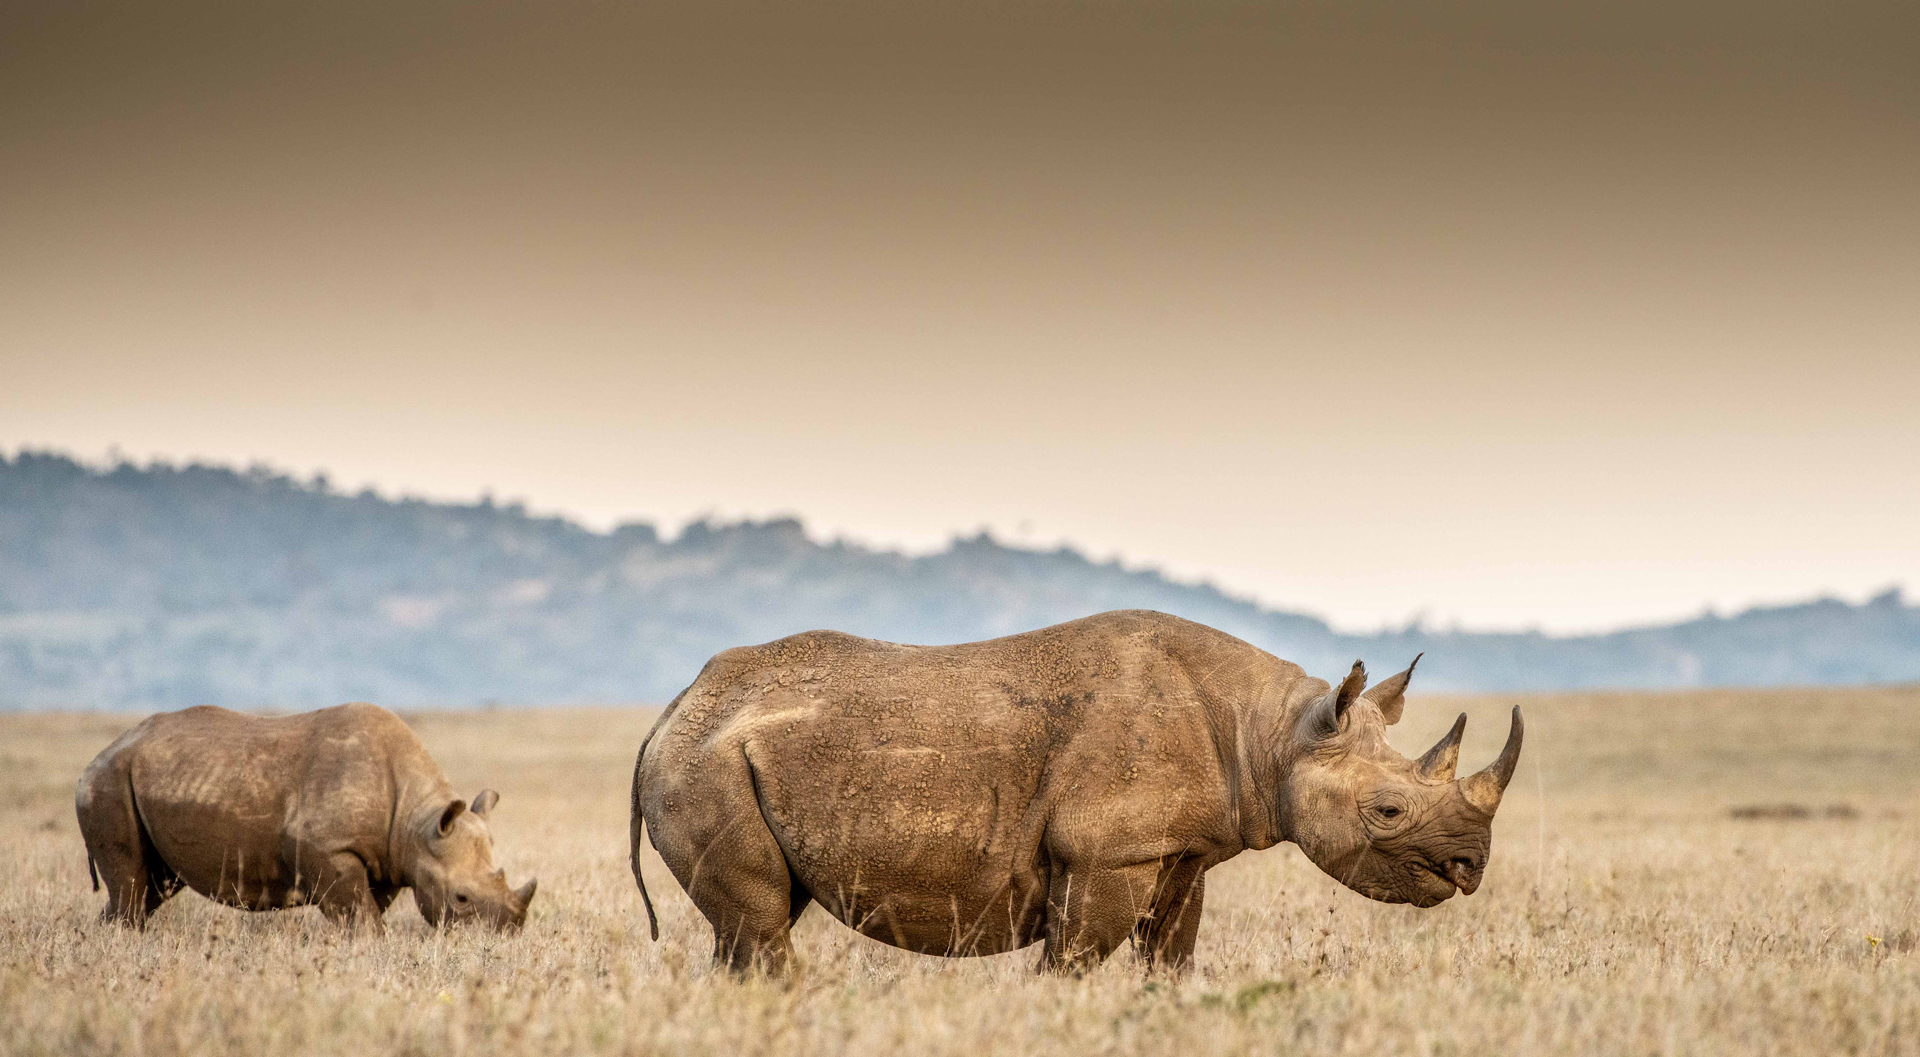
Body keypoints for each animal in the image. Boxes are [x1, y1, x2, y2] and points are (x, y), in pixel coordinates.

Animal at [77, 702, 536, 930]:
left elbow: (365, 909)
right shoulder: (326, 847)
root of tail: (96, 759)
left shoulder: (388, 858)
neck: (415, 821)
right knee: (132, 885)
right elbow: (360, 916)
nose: (503, 935)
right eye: (461, 898)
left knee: (150, 887)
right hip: (108, 784)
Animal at [629, 610, 1521, 974]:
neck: (1272, 732)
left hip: (722, 756)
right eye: (1388, 810)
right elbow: (1074, 961)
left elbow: (1169, 956)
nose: (1471, 866)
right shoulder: (1106, 853)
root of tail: (672, 706)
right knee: (759, 923)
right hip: (704, 762)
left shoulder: (1178, 850)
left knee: (754, 924)